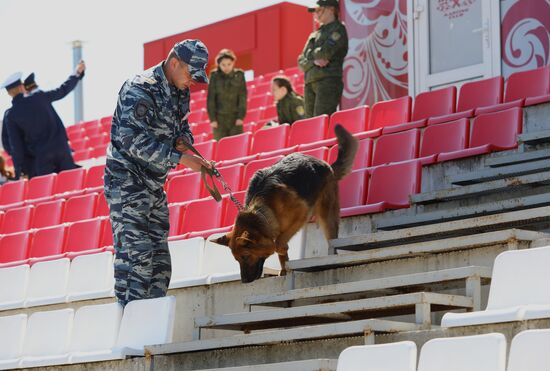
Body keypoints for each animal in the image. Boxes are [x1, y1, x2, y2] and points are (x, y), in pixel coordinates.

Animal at [213, 123, 360, 284]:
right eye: (237, 259)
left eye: (245, 256)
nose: (244, 281)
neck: (263, 210)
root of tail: (328, 166)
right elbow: (280, 252)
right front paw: (284, 270)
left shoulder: (301, 213)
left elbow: (278, 243)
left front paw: (281, 249)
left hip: (327, 216)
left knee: (332, 241)